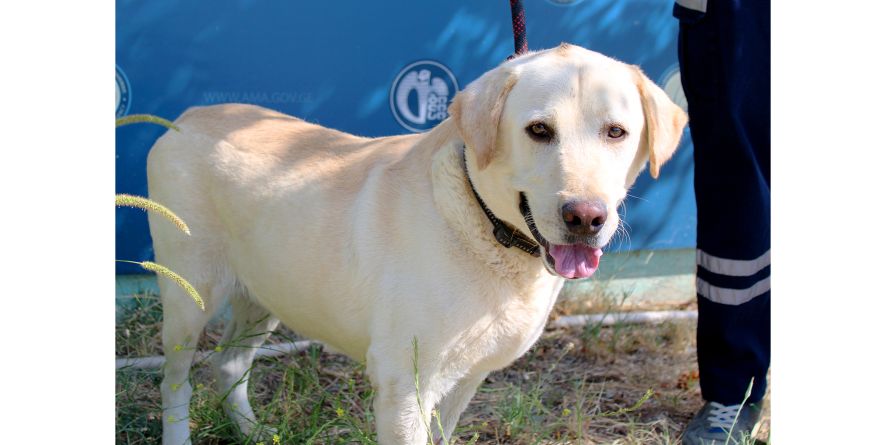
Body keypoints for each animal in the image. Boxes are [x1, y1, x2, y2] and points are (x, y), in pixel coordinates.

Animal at [147, 42, 688, 444]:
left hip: (267, 293)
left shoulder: (463, 381)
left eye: (616, 132)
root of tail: (188, 115)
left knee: (228, 364)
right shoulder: (403, 387)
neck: (484, 225)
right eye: (539, 130)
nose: (586, 217)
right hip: (189, 298)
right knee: (175, 382)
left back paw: (252, 431)